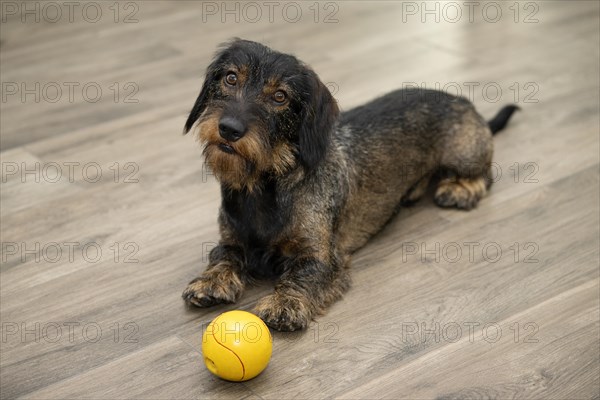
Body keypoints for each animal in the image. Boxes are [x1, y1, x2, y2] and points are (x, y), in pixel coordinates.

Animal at [180, 38, 516, 332]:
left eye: (280, 97)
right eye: (231, 78)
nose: (229, 129)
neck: (263, 187)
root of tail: (462, 101)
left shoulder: (321, 257)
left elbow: (303, 274)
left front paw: (285, 304)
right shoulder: (231, 239)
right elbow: (222, 255)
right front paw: (210, 280)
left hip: (465, 154)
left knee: (484, 175)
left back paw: (459, 189)